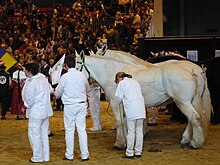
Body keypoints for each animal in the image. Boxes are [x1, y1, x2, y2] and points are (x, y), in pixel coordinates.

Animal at [76, 54, 211, 150]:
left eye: (77, 67)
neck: (112, 74)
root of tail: (193, 71)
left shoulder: (115, 103)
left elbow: (119, 122)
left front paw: (119, 144)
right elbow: (125, 122)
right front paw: (127, 140)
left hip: (183, 102)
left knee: (194, 118)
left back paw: (195, 143)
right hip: (188, 102)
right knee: (191, 120)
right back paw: (186, 140)